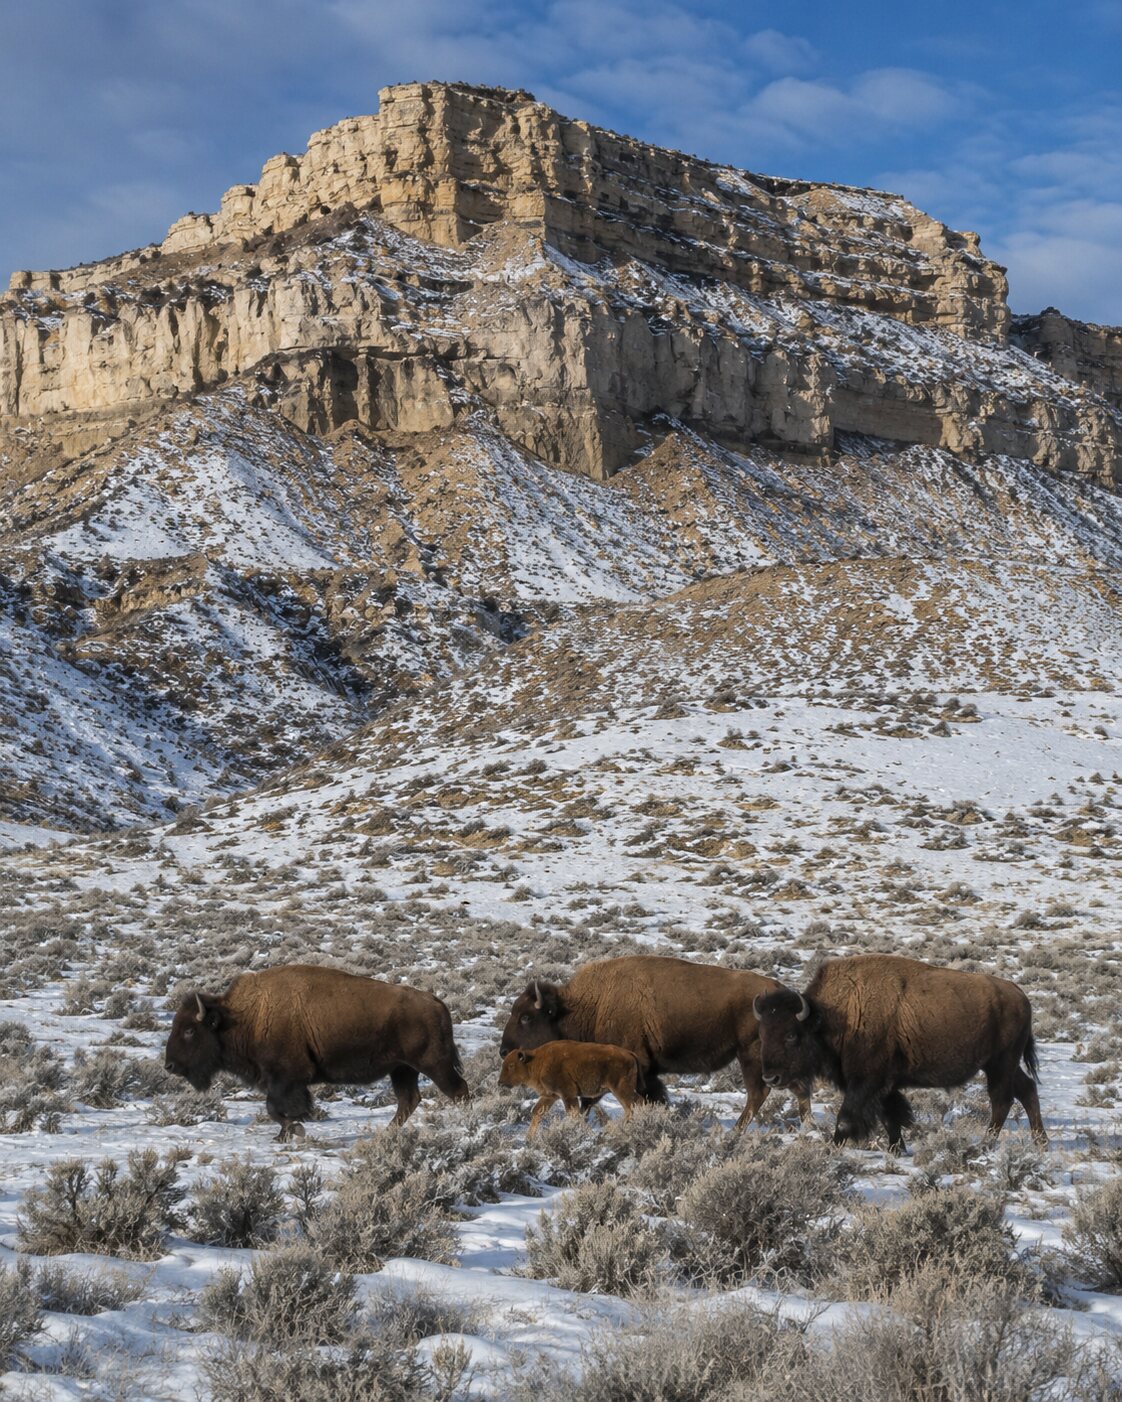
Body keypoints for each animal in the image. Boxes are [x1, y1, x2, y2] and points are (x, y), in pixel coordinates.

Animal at [164, 964, 469, 1140]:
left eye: (189, 1030)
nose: (169, 1066)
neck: (243, 1016)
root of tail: (436, 1002)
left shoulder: (287, 1077)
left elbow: (275, 1107)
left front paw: (294, 1130)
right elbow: (278, 1108)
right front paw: (283, 1135)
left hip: (433, 1064)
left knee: (458, 1090)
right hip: (402, 1069)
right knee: (409, 1100)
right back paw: (386, 1134)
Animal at [499, 1041, 640, 1135]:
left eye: (511, 1065)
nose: (500, 1082)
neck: (536, 1061)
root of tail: (629, 1053)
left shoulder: (567, 1094)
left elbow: (573, 1114)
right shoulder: (550, 1096)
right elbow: (537, 1111)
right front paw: (529, 1138)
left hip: (620, 1089)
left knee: (630, 1107)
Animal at [752, 953, 1046, 1152]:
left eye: (791, 1035)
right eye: (762, 1034)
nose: (769, 1078)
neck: (831, 1015)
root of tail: (1019, 994)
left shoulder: (866, 1081)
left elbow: (846, 1118)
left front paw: (834, 1147)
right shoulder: (883, 1085)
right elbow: (889, 1116)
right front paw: (897, 1149)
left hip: (1000, 1063)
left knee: (1002, 1099)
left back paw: (987, 1142)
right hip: (1002, 1065)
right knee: (1026, 1090)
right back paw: (1039, 1141)